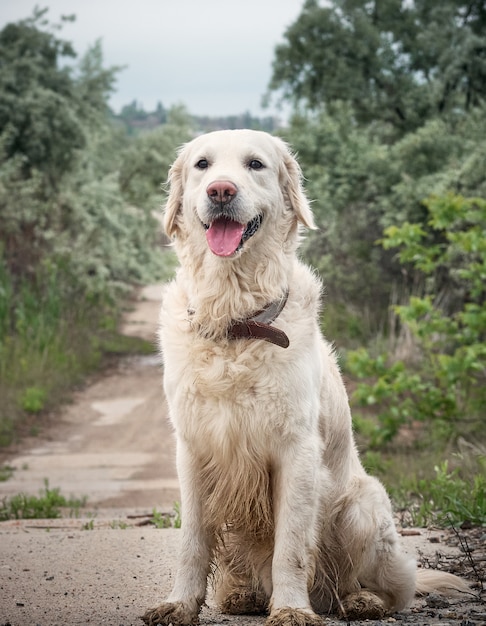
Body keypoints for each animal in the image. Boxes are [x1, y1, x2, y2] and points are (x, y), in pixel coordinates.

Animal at [143, 129, 468, 620]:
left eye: (255, 164)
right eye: (202, 165)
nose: (221, 191)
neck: (236, 321)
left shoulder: (296, 450)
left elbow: (292, 547)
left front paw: (292, 609)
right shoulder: (193, 449)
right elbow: (192, 542)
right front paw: (179, 604)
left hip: (363, 507)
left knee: (386, 589)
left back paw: (360, 600)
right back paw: (242, 594)